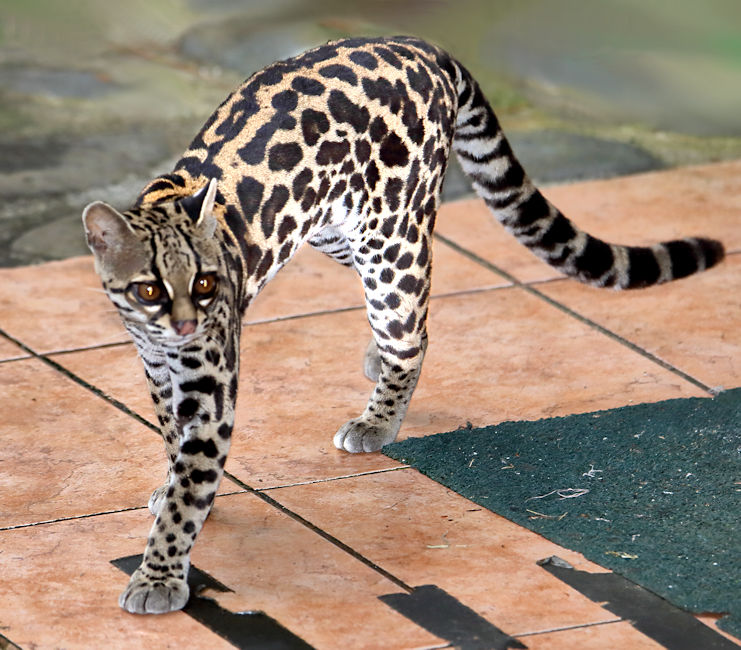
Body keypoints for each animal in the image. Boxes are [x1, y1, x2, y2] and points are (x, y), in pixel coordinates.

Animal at [82, 36, 724, 612]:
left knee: (412, 329)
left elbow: (191, 482)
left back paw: (378, 417)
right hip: (339, 231)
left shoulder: (210, 386)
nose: (186, 327)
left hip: (389, 239)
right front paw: (172, 488)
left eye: (206, 283)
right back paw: (376, 360)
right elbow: (174, 444)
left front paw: (159, 575)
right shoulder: (159, 370)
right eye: (149, 289)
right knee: (414, 312)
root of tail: (420, 47)